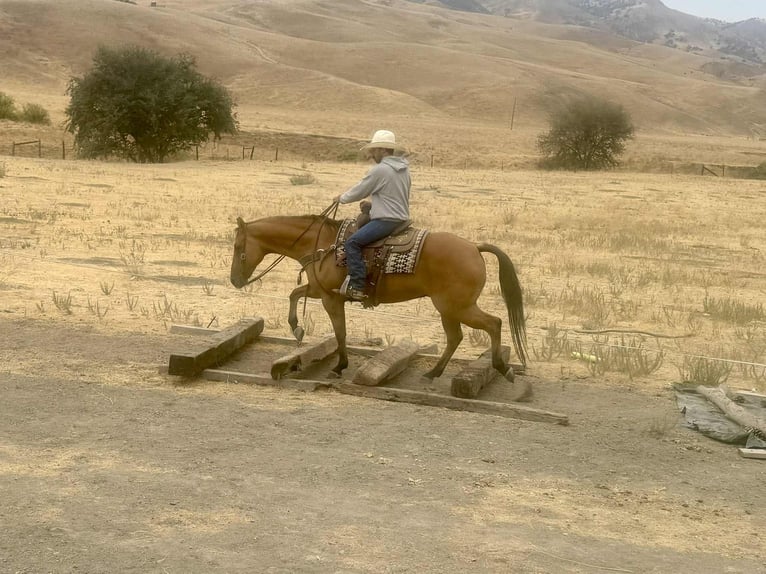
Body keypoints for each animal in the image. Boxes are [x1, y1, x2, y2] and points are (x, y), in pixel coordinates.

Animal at [230, 213, 527, 380]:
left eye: (237, 247)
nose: (234, 280)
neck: (322, 244)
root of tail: (474, 247)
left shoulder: (331, 299)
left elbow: (340, 332)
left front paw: (340, 366)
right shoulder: (318, 290)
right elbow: (295, 294)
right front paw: (297, 328)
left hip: (457, 307)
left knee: (493, 324)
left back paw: (502, 368)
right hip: (450, 309)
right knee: (456, 338)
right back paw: (434, 372)